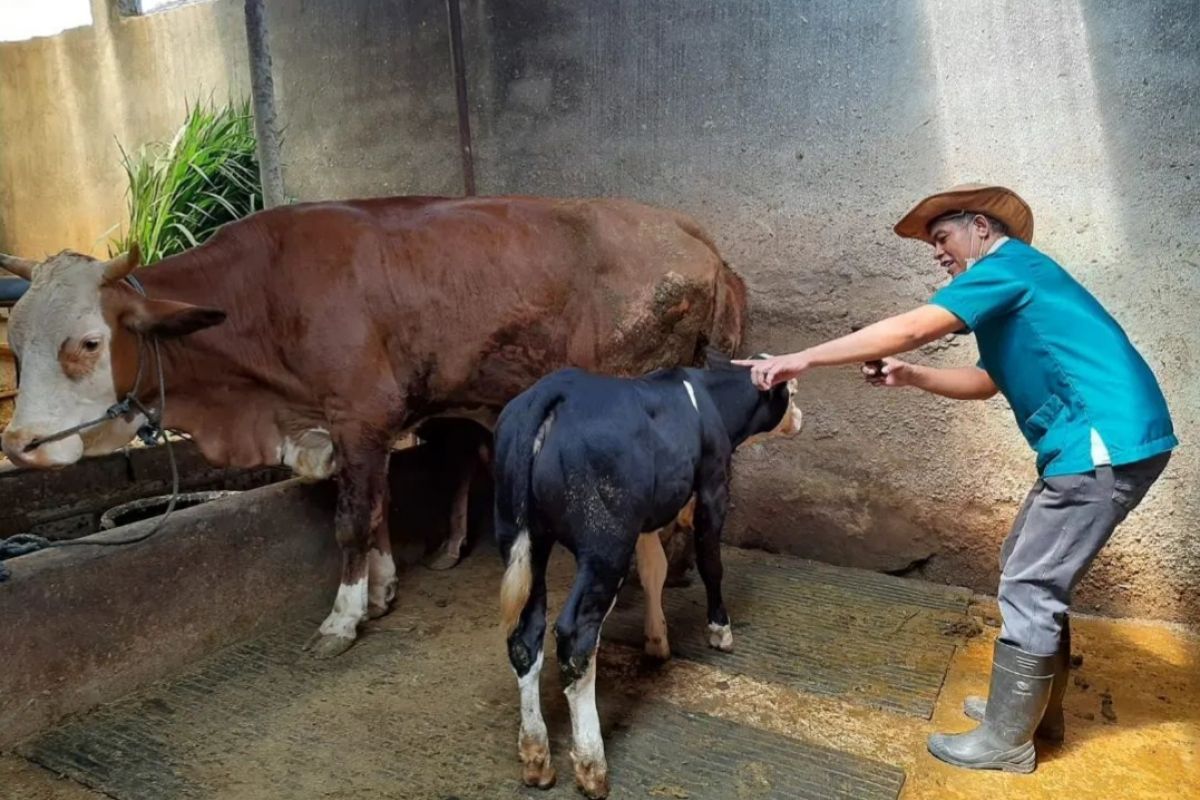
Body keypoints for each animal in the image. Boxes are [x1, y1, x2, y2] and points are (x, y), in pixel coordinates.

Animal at [0, 194, 744, 657]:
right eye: (14, 339)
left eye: (89, 341)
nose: (20, 444)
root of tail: (696, 236)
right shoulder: (359, 427)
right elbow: (380, 507)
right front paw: (383, 589)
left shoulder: (359, 414)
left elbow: (352, 521)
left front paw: (343, 617)